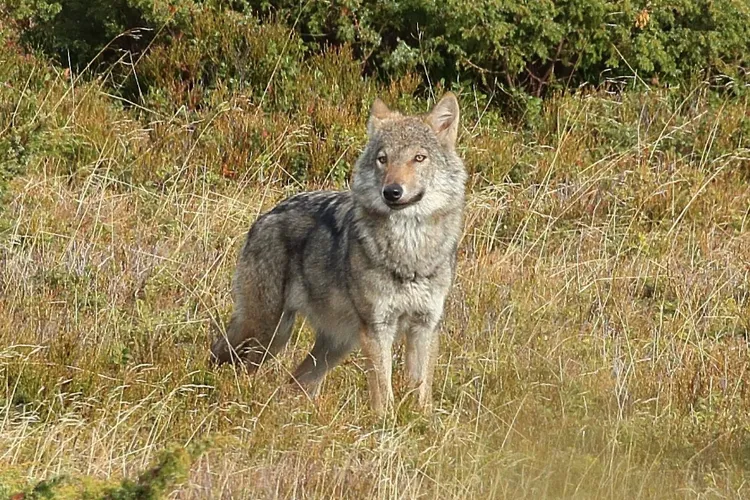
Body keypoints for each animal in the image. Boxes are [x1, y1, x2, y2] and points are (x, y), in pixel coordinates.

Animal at [212, 94, 468, 414]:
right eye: (383, 159)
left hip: (334, 343)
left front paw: (422, 423)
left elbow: (422, 393)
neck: (410, 251)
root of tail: (266, 215)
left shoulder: (426, 326)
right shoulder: (377, 328)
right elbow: (384, 392)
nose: (392, 192)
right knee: (237, 362)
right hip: (269, 330)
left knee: (297, 379)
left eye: (418, 158)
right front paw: (386, 422)